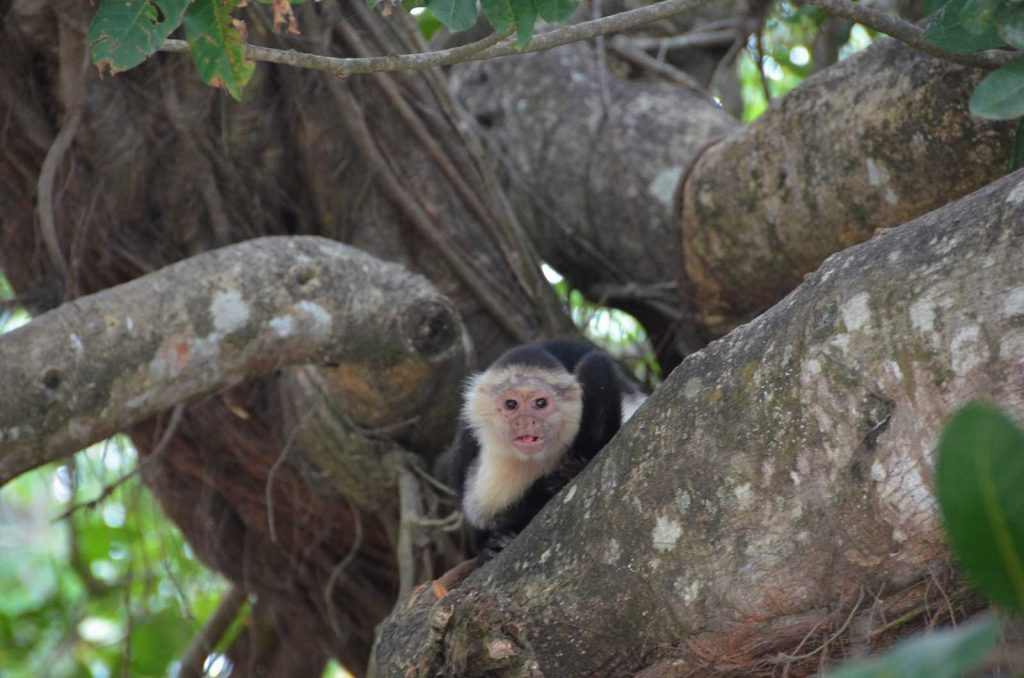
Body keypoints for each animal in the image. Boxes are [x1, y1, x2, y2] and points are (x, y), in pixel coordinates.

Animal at [444, 340, 643, 561]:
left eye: (540, 403)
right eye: (511, 404)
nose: (525, 421)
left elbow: (596, 368)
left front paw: (568, 471)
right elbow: (481, 515)